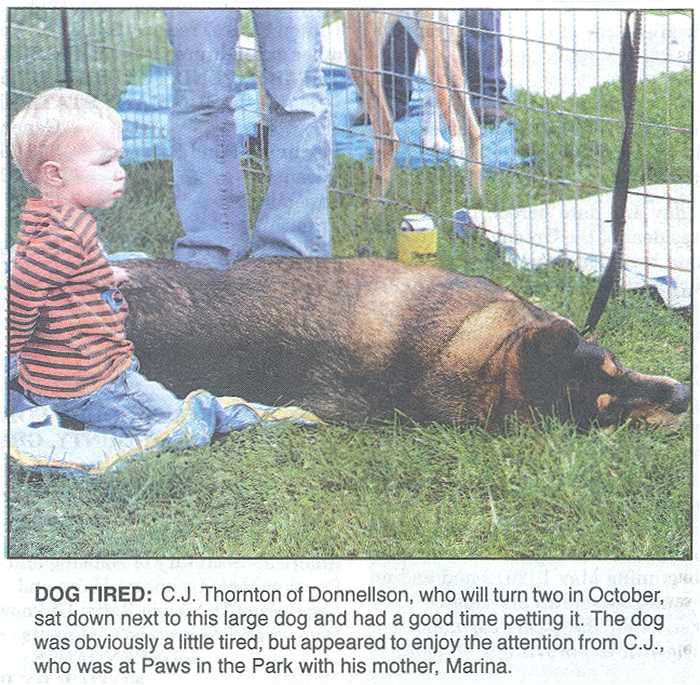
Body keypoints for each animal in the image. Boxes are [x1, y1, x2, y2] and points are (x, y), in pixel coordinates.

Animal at [344, 9, 482, 199]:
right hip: (431, 32)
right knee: (472, 131)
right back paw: (473, 199)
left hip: (360, 50)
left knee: (388, 139)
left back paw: (371, 206)